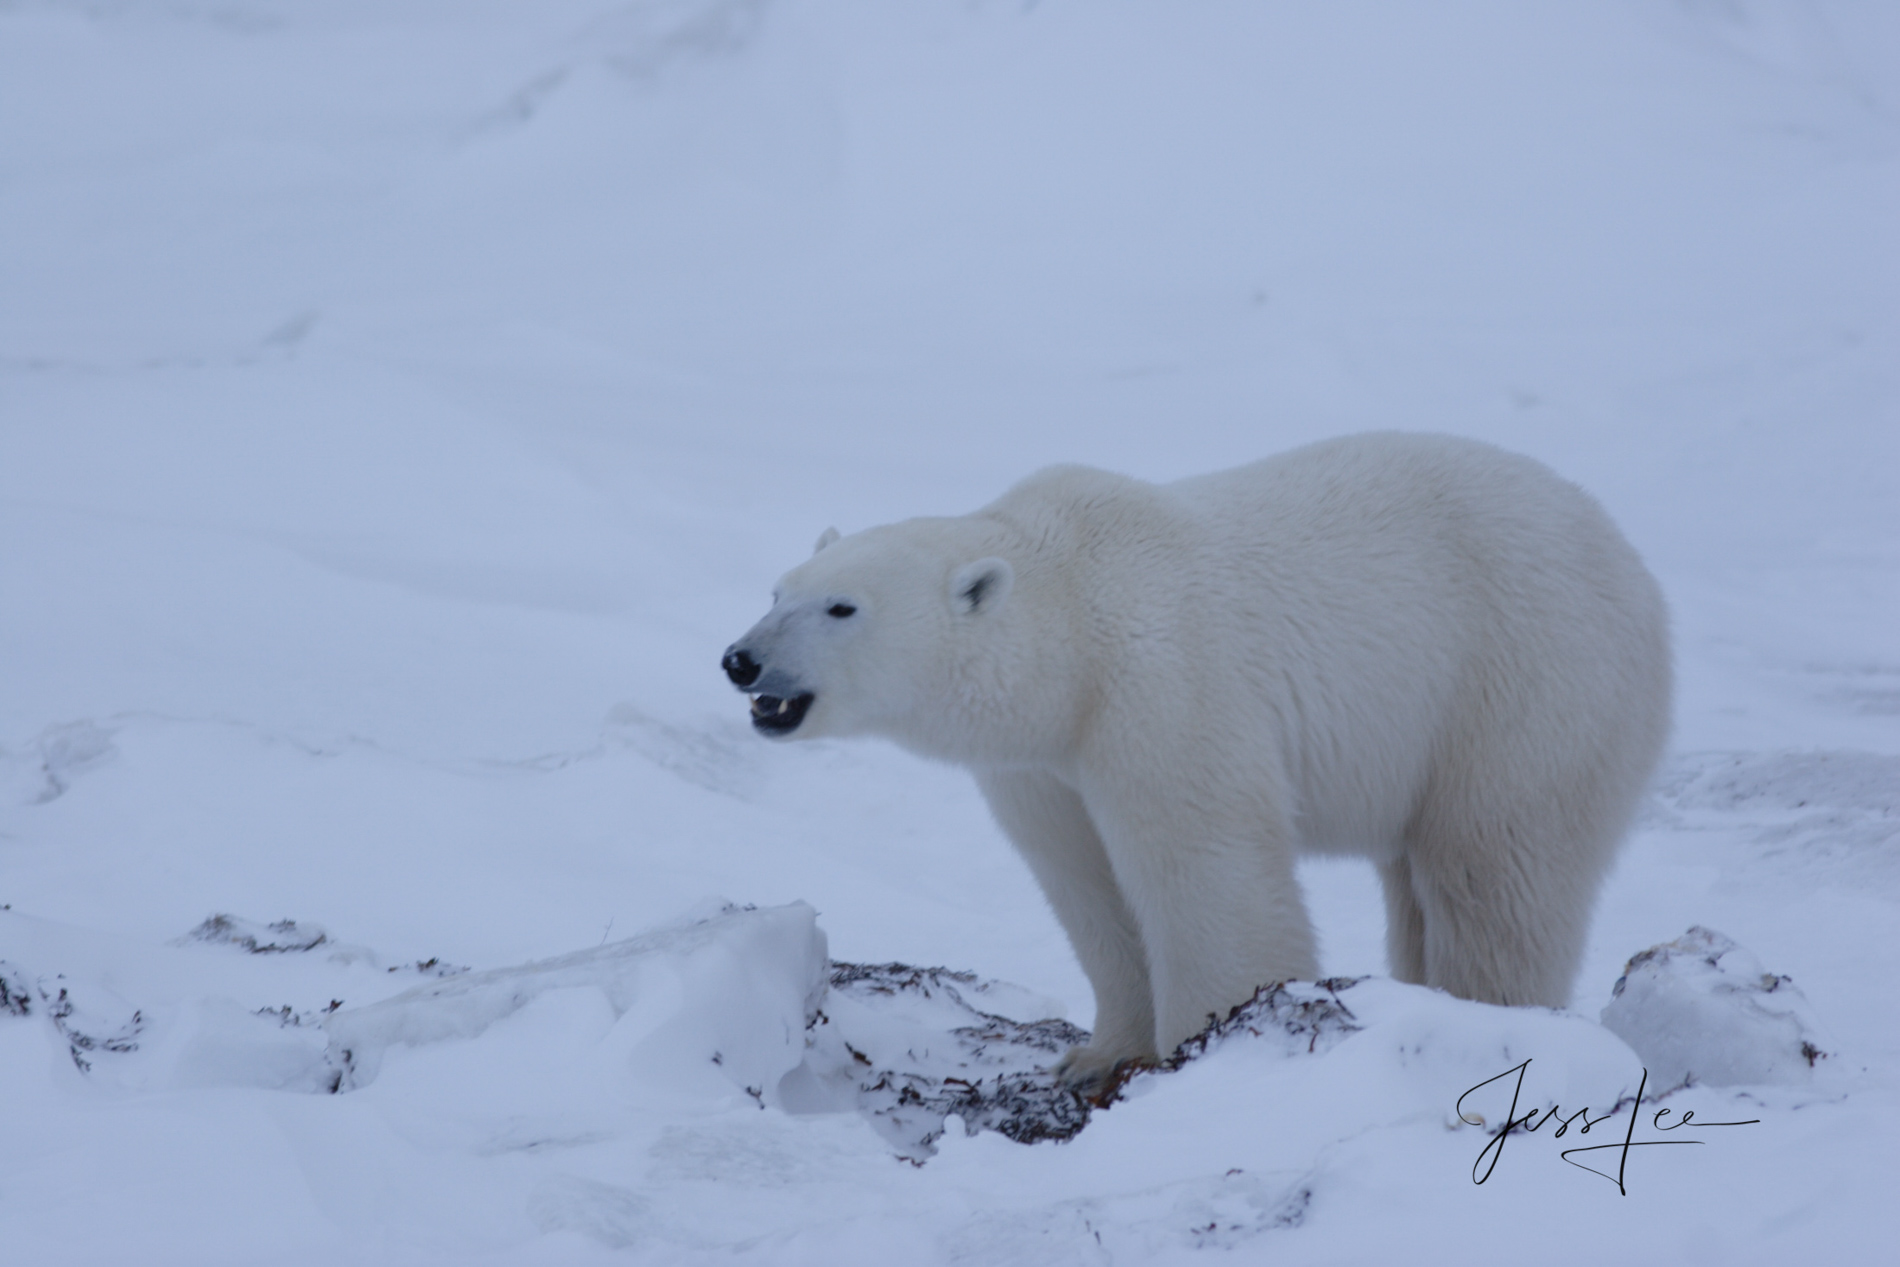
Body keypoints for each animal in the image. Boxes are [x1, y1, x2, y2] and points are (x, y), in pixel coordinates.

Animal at [718, 431, 1672, 1086]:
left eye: (842, 607)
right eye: (777, 590)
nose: (741, 659)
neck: (1073, 610)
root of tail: (1633, 566)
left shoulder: (1162, 679)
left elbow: (1205, 869)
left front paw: (1205, 1049)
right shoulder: (1044, 763)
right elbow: (1086, 883)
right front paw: (1096, 1055)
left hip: (1521, 682)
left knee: (1496, 869)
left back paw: (1492, 1012)